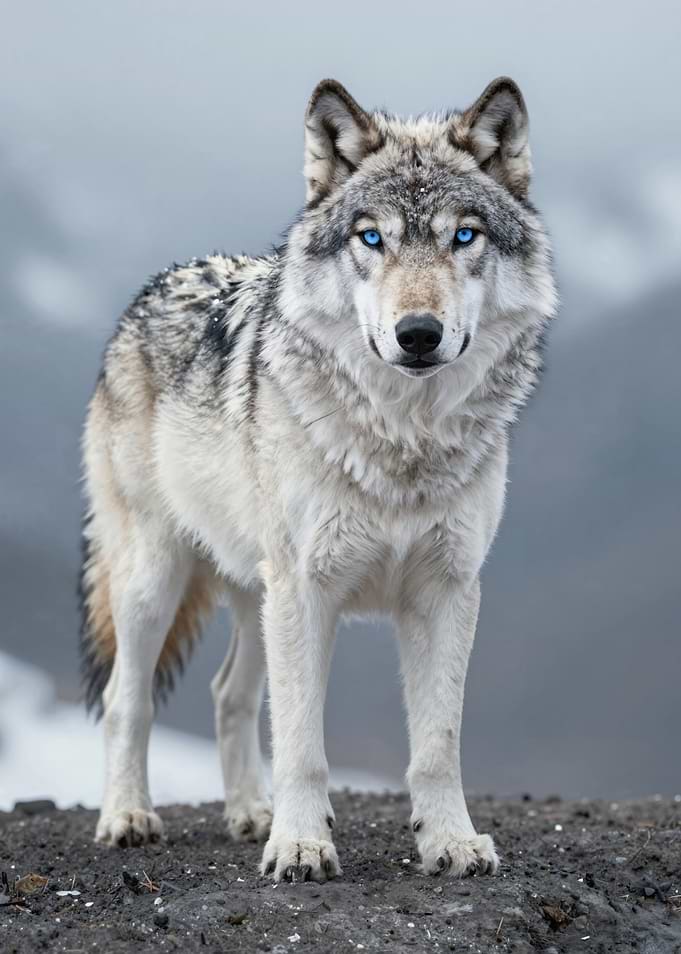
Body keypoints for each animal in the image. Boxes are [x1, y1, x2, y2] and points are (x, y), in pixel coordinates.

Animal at [79, 76, 556, 882]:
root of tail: (154, 286)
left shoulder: (447, 589)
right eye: (372, 238)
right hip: (158, 579)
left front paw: (450, 842)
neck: (403, 441)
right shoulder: (306, 591)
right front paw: (301, 845)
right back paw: (128, 816)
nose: (418, 333)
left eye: (464, 237)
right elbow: (302, 743)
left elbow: (438, 744)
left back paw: (249, 813)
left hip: (253, 595)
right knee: (125, 698)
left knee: (228, 695)